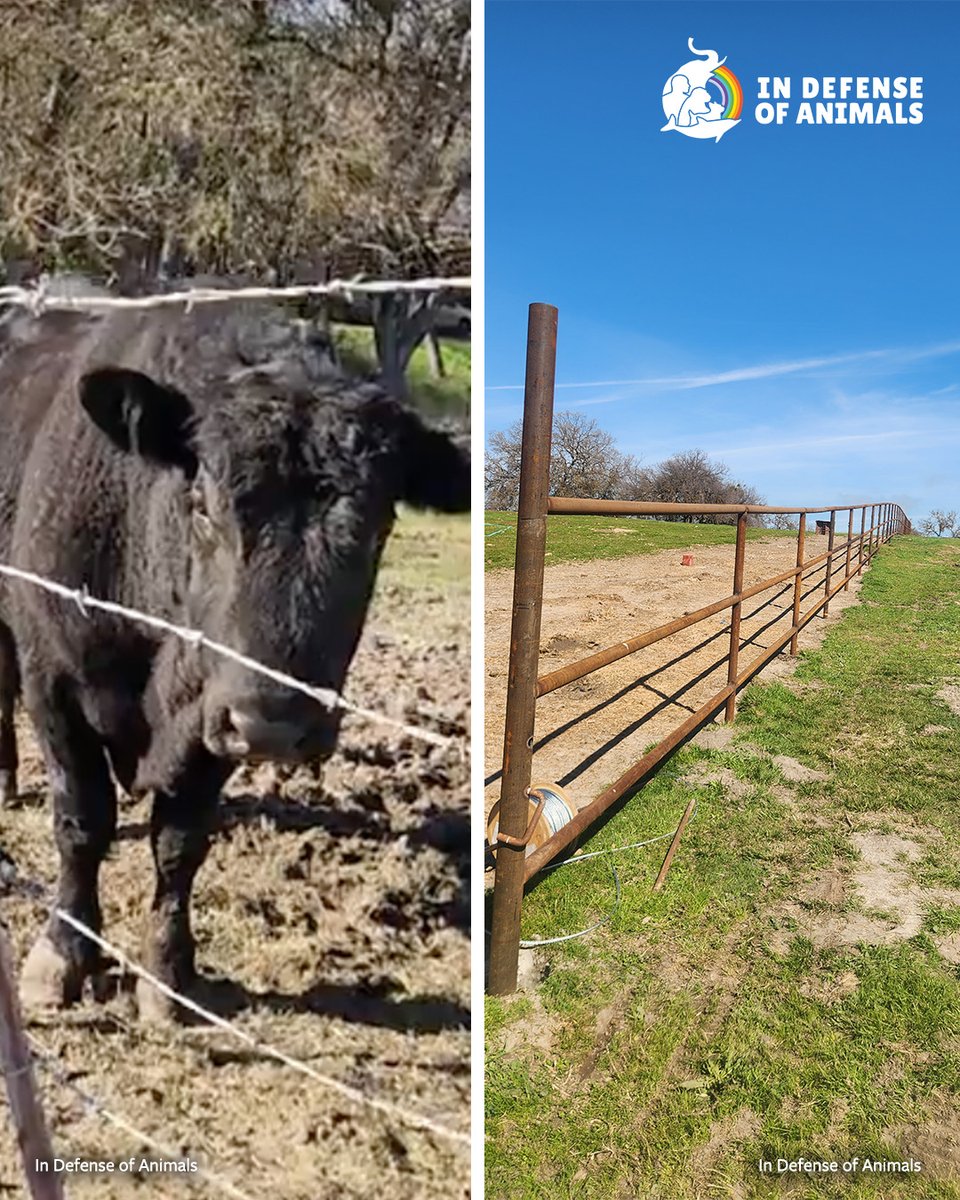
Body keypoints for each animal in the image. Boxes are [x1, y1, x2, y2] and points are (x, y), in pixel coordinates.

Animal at [0, 300, 469, 1021]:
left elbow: (180, 842)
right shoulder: (52, 680)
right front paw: (62, 956)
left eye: (380, 527)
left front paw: (167, 976)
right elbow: (81, 820)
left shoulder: (210, 716)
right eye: (201, 507)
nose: (274, 725)